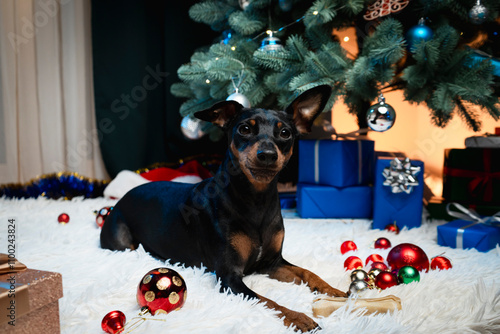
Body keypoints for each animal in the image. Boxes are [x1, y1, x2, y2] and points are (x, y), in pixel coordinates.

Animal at [98, 86, 348, 332]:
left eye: (285, 133)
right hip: (122, 243)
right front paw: (299, 317)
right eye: (245, 129)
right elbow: (267, 301)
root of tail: (121, 198)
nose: (267, 155)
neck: (256, 199)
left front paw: (335, 292)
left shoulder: (271, 263)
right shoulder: (230, 278)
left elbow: (307, 272)